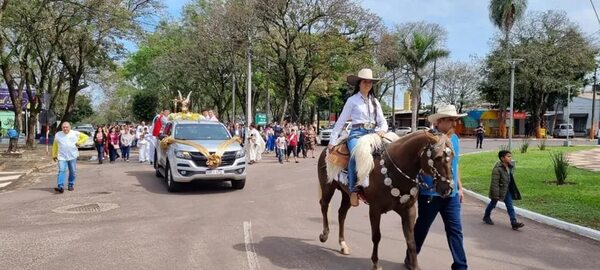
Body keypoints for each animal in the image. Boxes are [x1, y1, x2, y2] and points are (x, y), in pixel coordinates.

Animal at [316, 130, 452, 268]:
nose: (447, 189)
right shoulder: (375, 209)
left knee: (342, 214)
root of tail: (328, 149)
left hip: (347, 194)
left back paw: (343, 245)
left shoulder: (409, 210)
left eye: (452, 156)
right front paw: (376, 263)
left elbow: (411, 240)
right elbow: (376, 236)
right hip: (328, 187)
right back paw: (324, 235)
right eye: (437, 157)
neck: (393, 170)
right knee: (324, 205)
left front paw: (414, 266)